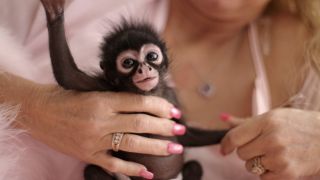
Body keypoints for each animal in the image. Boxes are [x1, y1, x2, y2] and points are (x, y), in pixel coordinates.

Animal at [40, 0, 228, 179]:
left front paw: (229, 133)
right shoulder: (106, 87)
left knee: (195, 166)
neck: (148, 93)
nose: (144, 69)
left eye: (152, 56)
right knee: (91, 171)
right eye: (128, 63)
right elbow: (68, 76)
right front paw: (54, 12)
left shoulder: (171, 97)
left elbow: (184, 134)